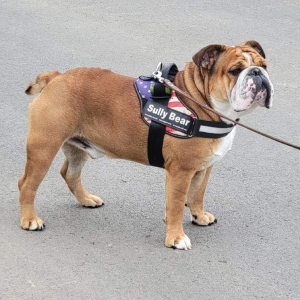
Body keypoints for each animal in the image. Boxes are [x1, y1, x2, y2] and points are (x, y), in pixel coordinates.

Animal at [17, 40, 274, 251]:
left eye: (264, 65)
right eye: (235, 71)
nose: (257, 73)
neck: (200, 101)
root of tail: (56, 77)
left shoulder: (204, 167)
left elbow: (197, 193)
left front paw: (198, 216)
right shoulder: (181, 171)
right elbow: (177, 203)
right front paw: (176, 237)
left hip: (78, 148)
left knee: (69, 173)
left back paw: (86, 199)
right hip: (44, 147)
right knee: (27, 184)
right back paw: (29, 219)